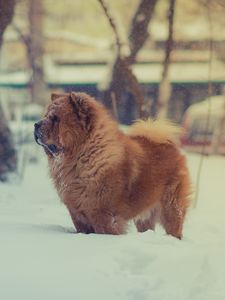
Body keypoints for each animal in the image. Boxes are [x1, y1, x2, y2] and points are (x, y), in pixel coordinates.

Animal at [34, 92, 191, 238]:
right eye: (46, 116)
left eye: (56, 119)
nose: (36, 124)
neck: (79, 158)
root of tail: (171, 147)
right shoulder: (77, 213)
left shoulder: (103, 214)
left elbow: (104, 231)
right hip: (145, 216)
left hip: (171, 208)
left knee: (175, 227)